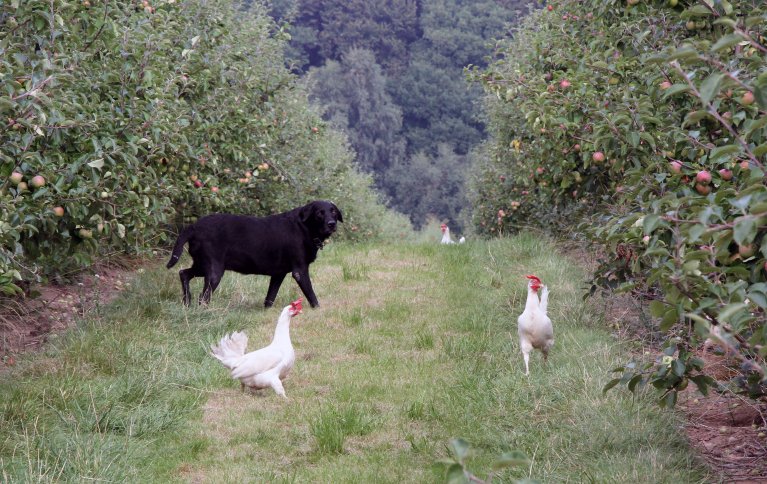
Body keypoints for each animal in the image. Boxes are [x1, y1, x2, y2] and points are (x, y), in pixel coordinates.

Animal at [166, 199, 344, 306]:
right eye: (320, 212)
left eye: (333, 211)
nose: (332, 224)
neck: (304, 227)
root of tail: (194, 226)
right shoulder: (300, 271)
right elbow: (312, 296)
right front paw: (318, 310)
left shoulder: (278, 274)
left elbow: (270, 298)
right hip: (214, 270)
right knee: (203, 298)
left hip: (202, 265)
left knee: (183, 273)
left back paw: (186, 302)